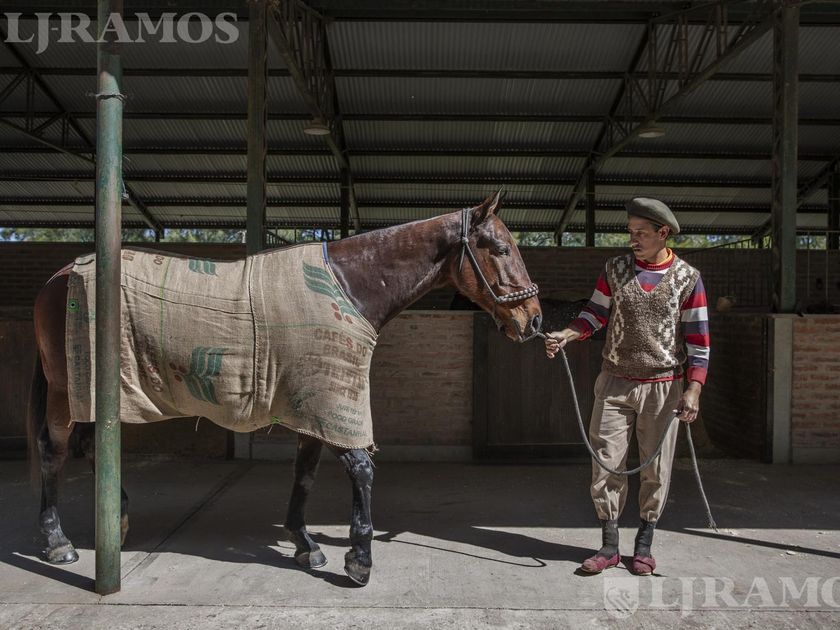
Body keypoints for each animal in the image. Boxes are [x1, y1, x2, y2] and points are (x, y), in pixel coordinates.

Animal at [27, 191, 542, 586]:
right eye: (500, 248)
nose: (533, 320)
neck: (348, 288)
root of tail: (60, 277)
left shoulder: (313, 405)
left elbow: (305, 474)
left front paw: (305, 543)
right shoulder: (331, 400)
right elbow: (361, 470)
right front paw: (359, 559)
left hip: (95, 392)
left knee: (92, 447)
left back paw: (116, 519)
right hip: (65, 393)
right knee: (54, 453)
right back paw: (57, 543)